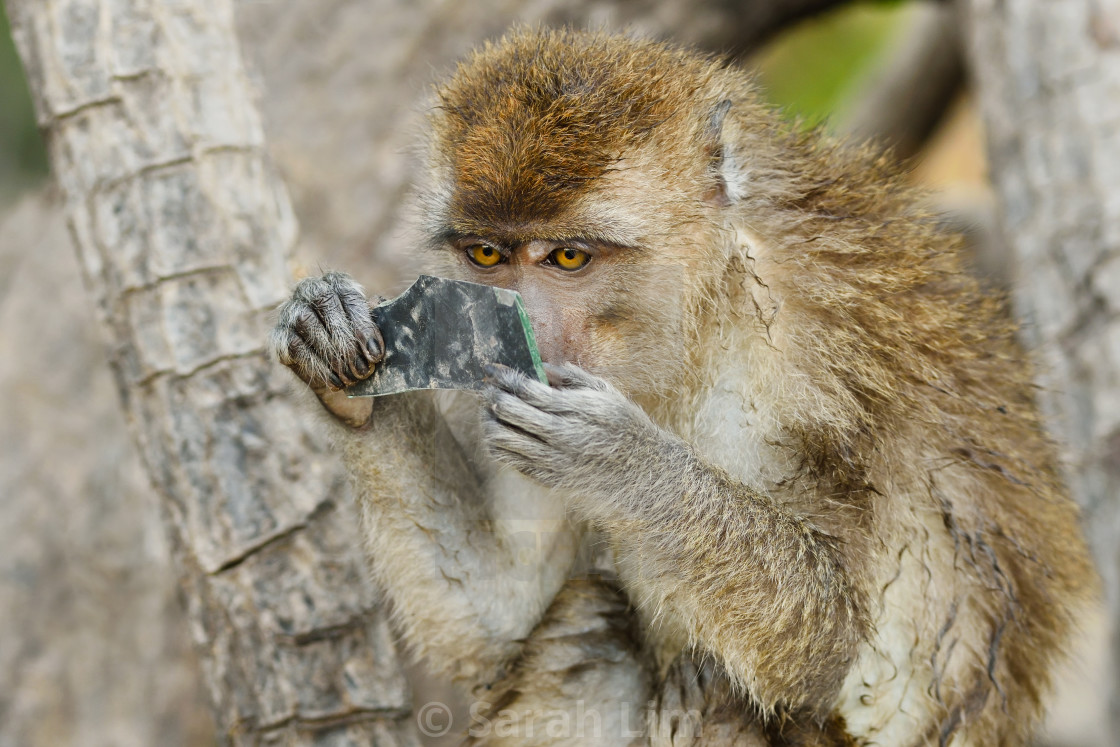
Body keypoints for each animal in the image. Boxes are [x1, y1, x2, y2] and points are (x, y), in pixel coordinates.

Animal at [271, 26, 1093, 743]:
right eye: (487, 255)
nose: (516, 328)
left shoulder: (807, 376)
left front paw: (623, 463)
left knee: (715, 687)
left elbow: (828, 644)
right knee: (588, 629)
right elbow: (500, 614)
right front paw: (335, 351)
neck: (701, 322)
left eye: (568, 257)